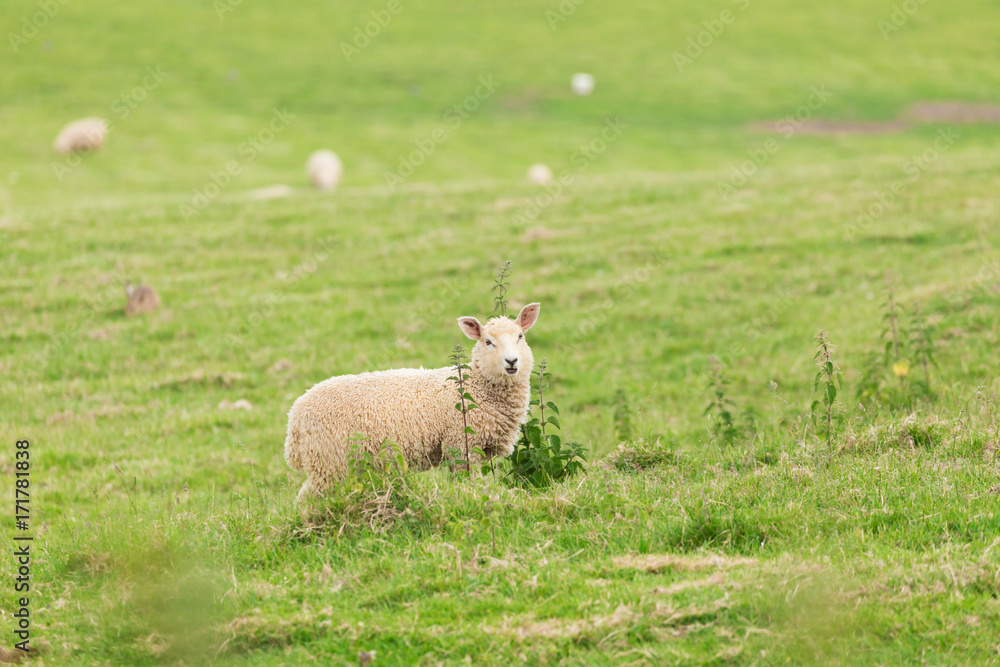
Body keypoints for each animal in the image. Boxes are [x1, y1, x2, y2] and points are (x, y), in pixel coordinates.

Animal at [284, 302, 541, 501]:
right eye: (488, 342)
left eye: (520, 336)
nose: (512, 361)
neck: (476, 386)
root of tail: (295, 416)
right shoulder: (461, 443)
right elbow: (471, 481)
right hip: (328, 461)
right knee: (307, 499)